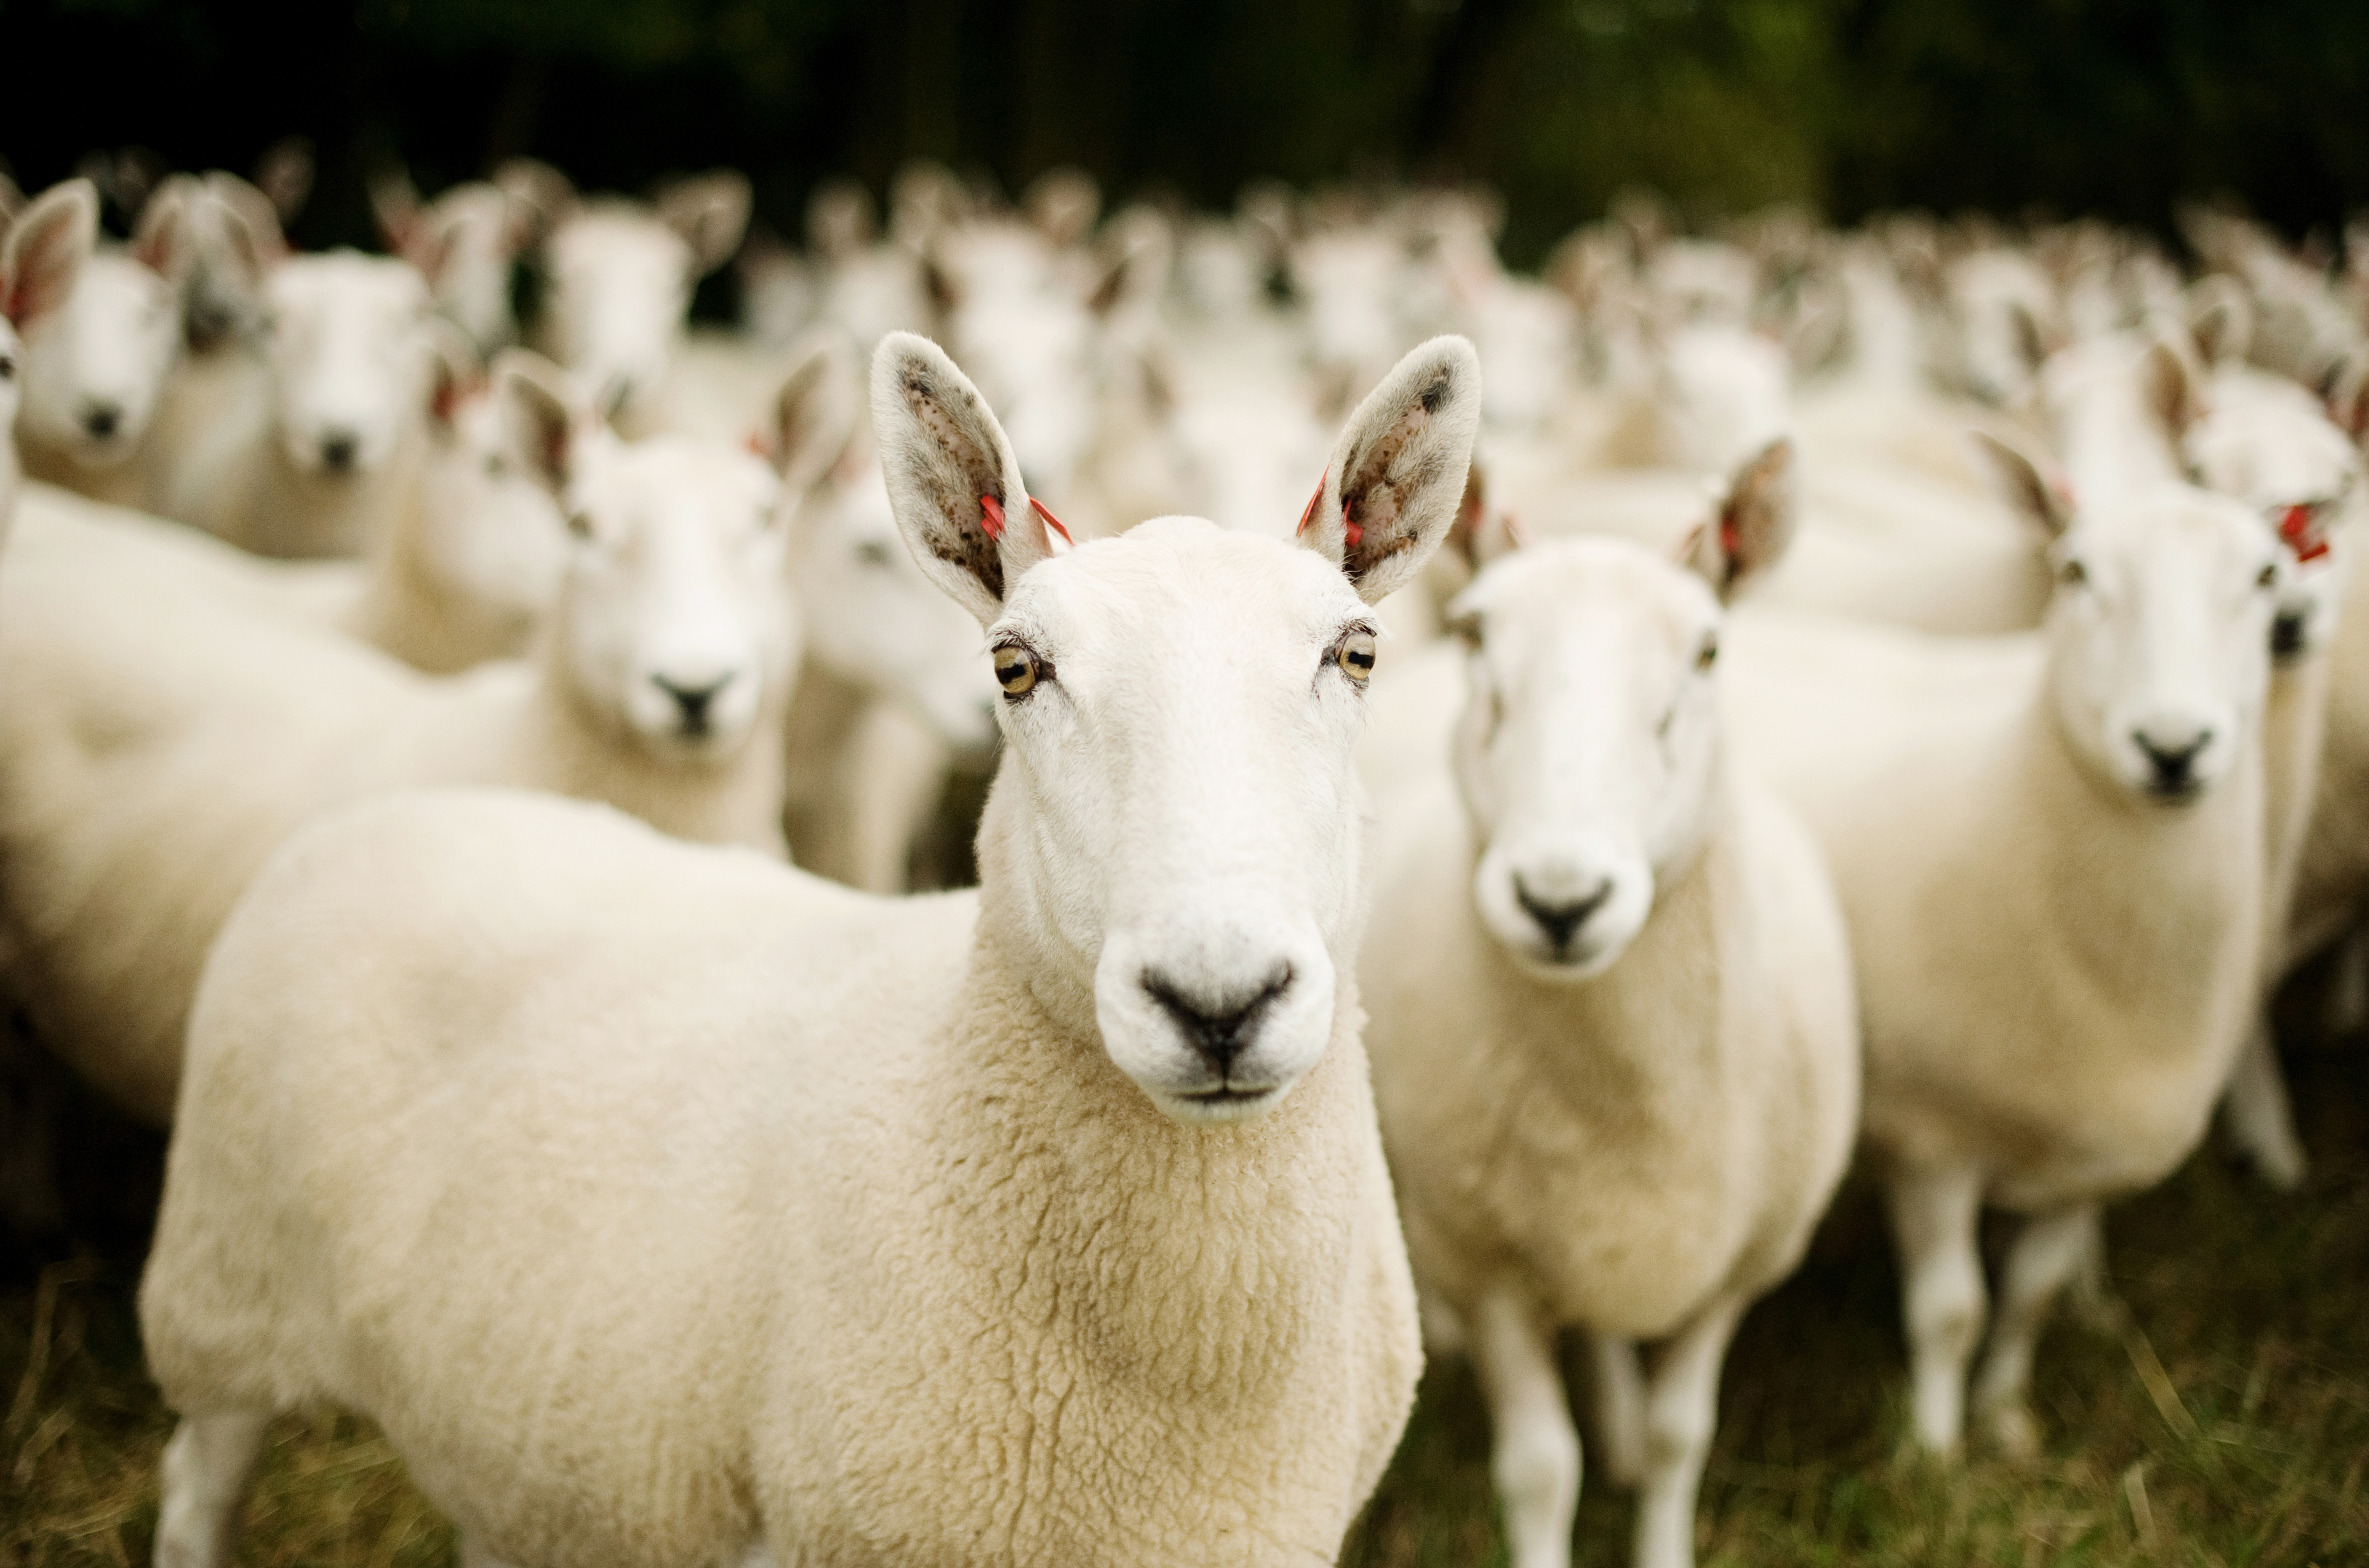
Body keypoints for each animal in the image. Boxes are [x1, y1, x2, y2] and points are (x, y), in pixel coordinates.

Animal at [134, 332, 1478, 1568]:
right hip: (222, 1294)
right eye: (1016, 665)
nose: (1219, 997)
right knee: (196, 1483)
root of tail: (406, 811)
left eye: (1356, 652)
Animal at [1365, 519, 1857, 1568]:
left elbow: (1681, 1438)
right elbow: (1540, 1468)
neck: (1629, 1098)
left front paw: (1653, 1491)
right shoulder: (1487, 1265)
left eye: (1707, 650)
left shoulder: (1739, 1264)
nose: (1561, 900)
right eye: (1475, 636)